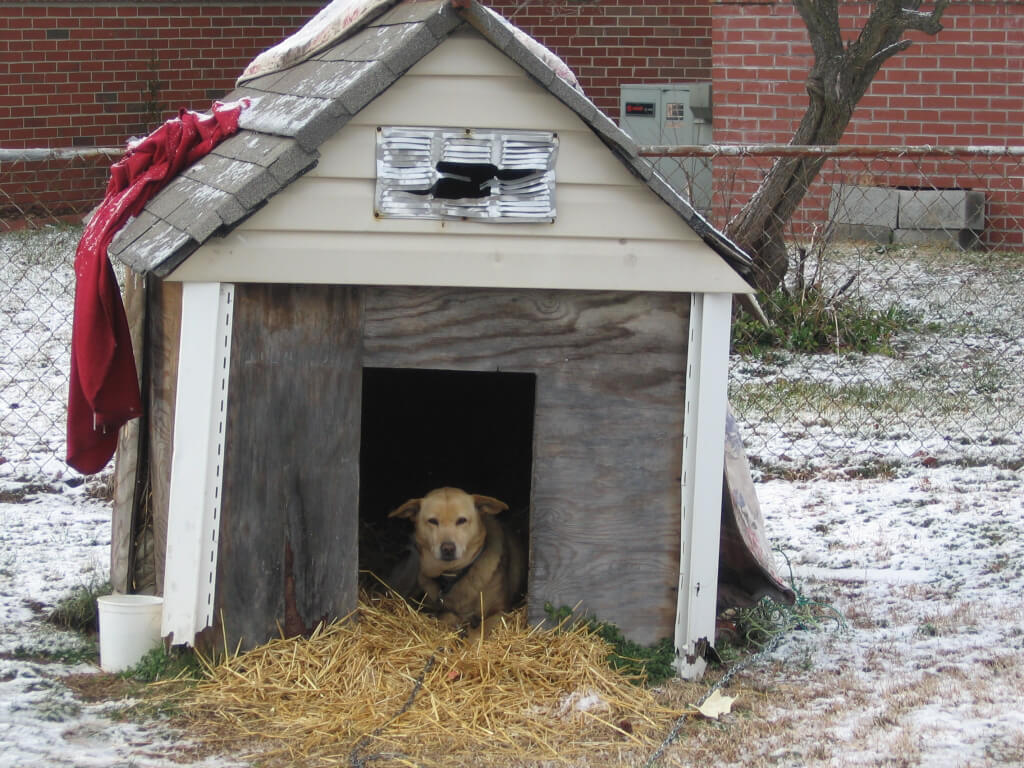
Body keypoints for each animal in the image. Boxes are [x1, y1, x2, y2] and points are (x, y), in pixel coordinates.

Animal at [387, 487, 524, 638]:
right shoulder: (433, 609)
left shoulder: (501, 611)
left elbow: (480, 632)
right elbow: (447, 615)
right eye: (432, 521)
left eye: (462, 520)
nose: (448, 548)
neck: (454, 574)